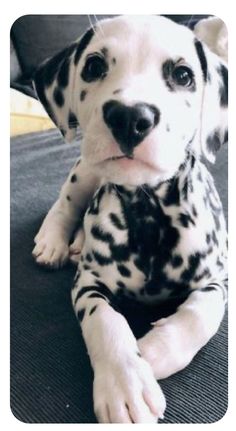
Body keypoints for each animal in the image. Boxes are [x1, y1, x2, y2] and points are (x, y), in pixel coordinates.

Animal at [32, 15, 228, 424]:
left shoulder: (219, 279)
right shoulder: (88, 283)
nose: (129, 117)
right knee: (66, 203)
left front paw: (154, 353)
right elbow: (105, 321)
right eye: (93, 66)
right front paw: (125, 383)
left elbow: (201, 315)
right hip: (85, 170)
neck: (149, 212)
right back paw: (55, 242)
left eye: (183, 75)